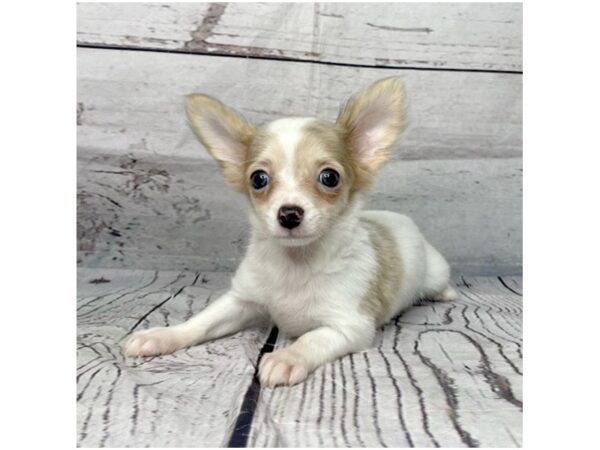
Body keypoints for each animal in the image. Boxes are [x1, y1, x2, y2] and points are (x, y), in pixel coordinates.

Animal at [124, 77, 458, 386]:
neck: (296, 263)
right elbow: (202, 321)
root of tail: (397, 218)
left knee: (437, 283)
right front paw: (163, 335)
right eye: (258, 179)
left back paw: (445, 293)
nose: (289, 214)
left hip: (435, 270)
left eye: (330, 177)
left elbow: (311, 339)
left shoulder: (349, 326)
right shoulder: (241, 300)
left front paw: (286, 357)